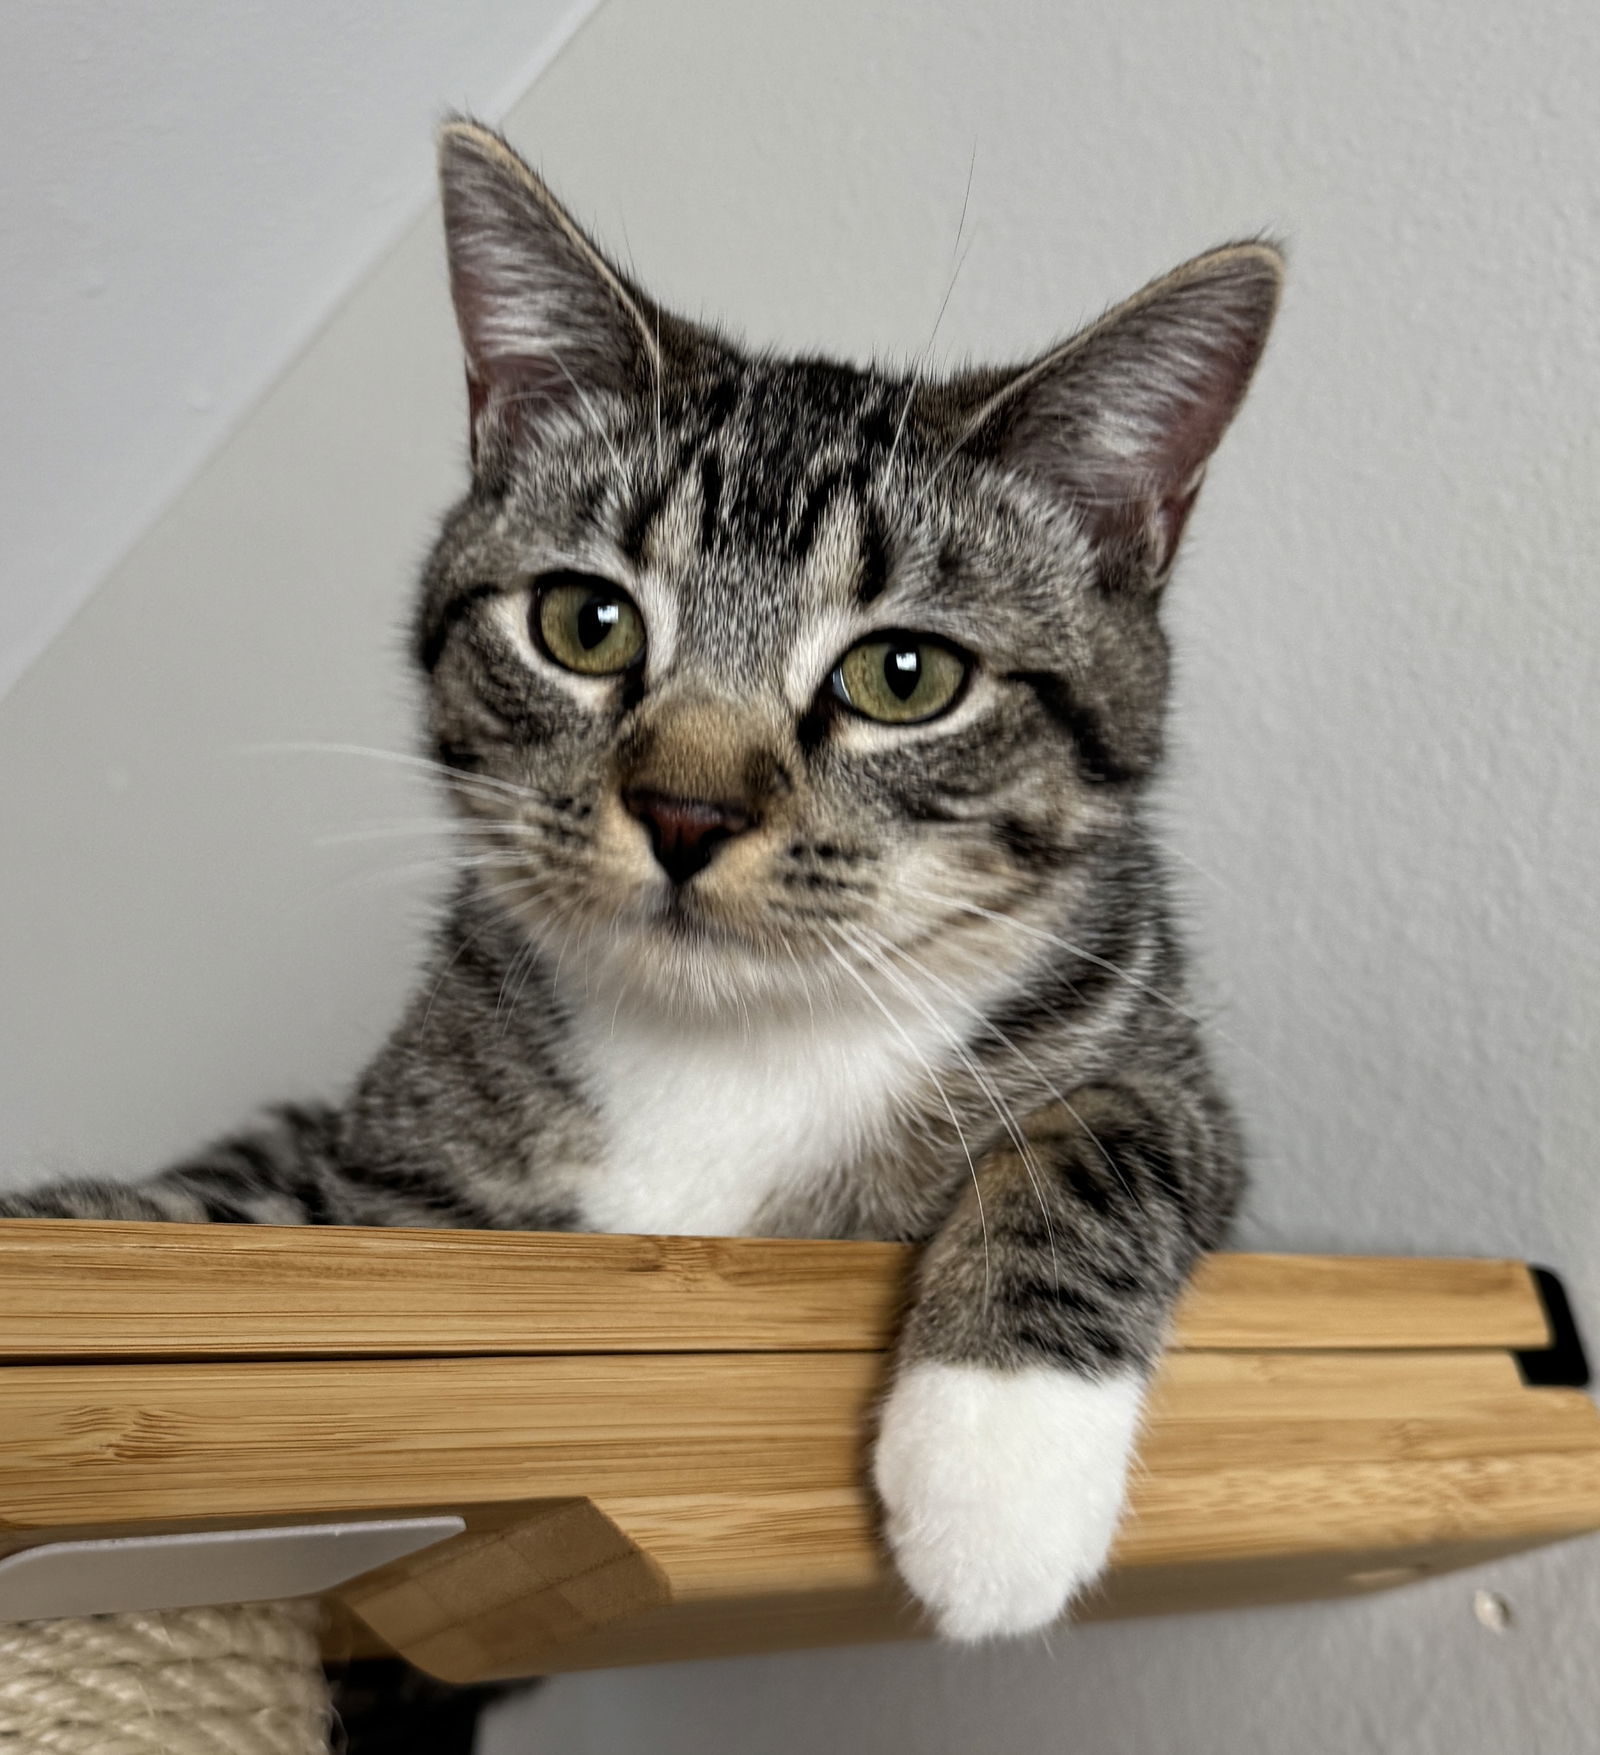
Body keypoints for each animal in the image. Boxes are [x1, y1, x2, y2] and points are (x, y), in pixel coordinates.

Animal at [0, 120, 1277, 1642]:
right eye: (585, 621)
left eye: (906, 673)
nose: (685, 808)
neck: (722, 1054)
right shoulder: (374, 1197)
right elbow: (209, 1232)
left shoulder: (1153, 1046)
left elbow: (1112, 1130)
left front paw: (1000, 1472)